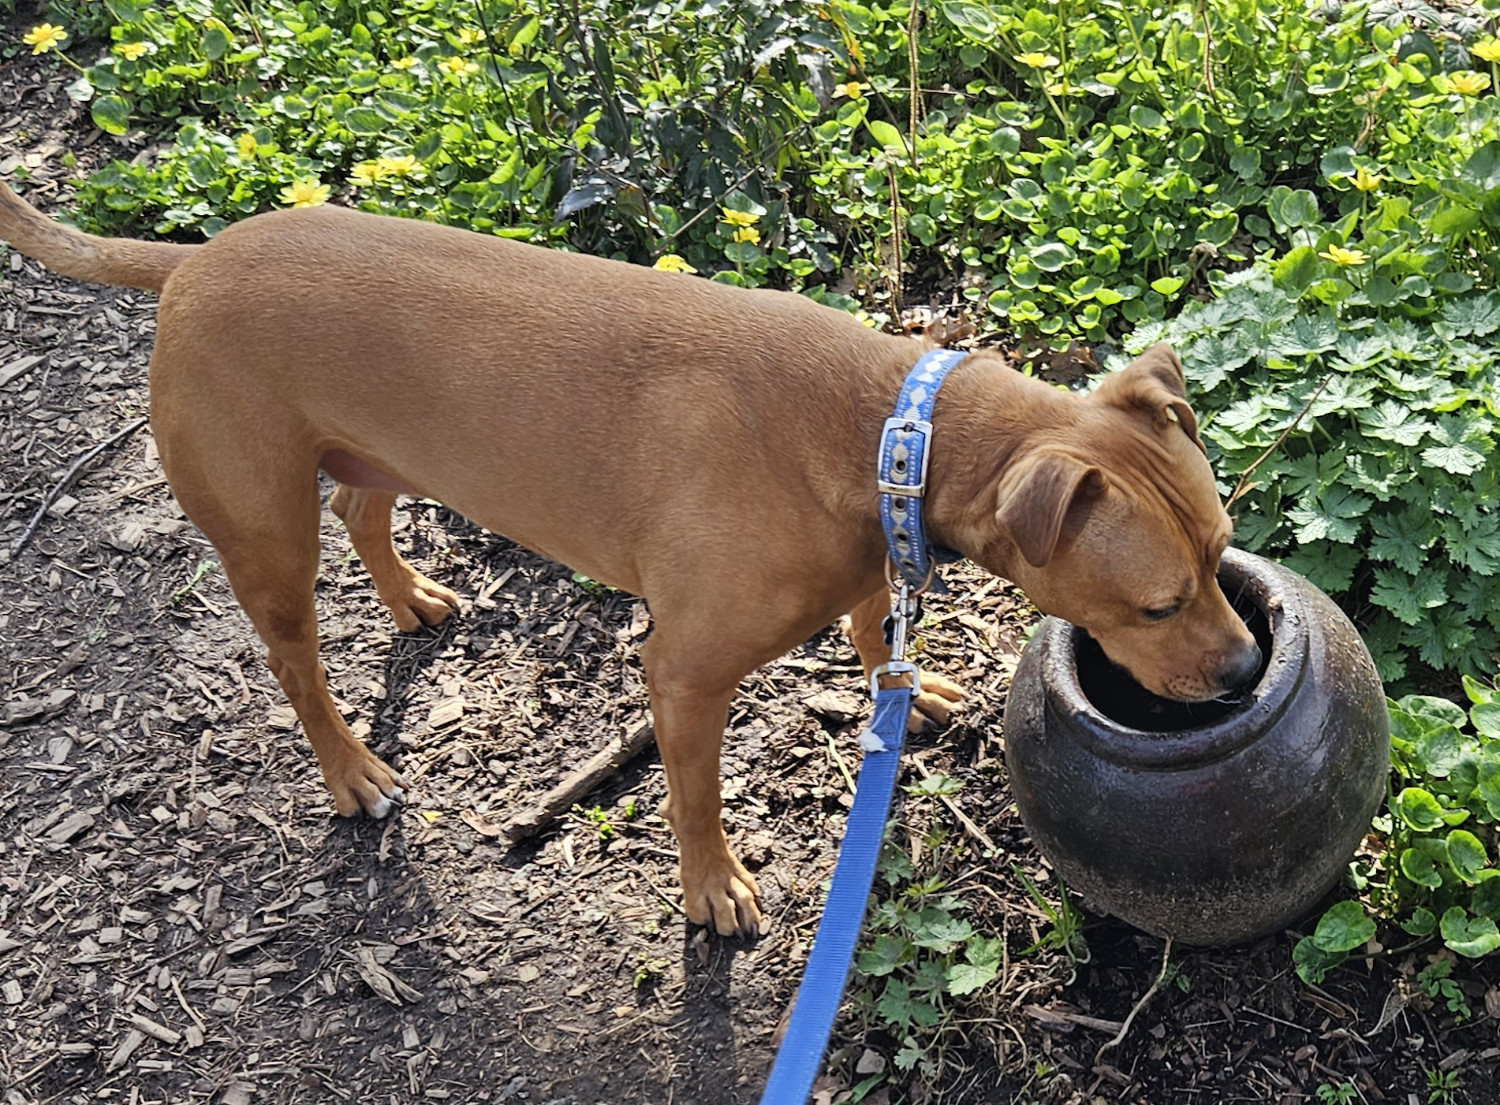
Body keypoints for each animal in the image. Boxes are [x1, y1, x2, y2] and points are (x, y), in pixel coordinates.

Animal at [0, 185, 1260, 935]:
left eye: (1222, 554)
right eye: (1156, 606)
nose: (1248, 671)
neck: (894, 433)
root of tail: (192, 260)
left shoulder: (869, 560)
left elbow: (870, 622)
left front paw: (909, 679)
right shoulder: (686, 676)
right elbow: (695, 794)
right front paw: (713, 886)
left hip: (378, 451)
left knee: (364, 510)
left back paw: (410, 599)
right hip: (265, 532)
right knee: (297, 662)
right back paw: (353, 771)